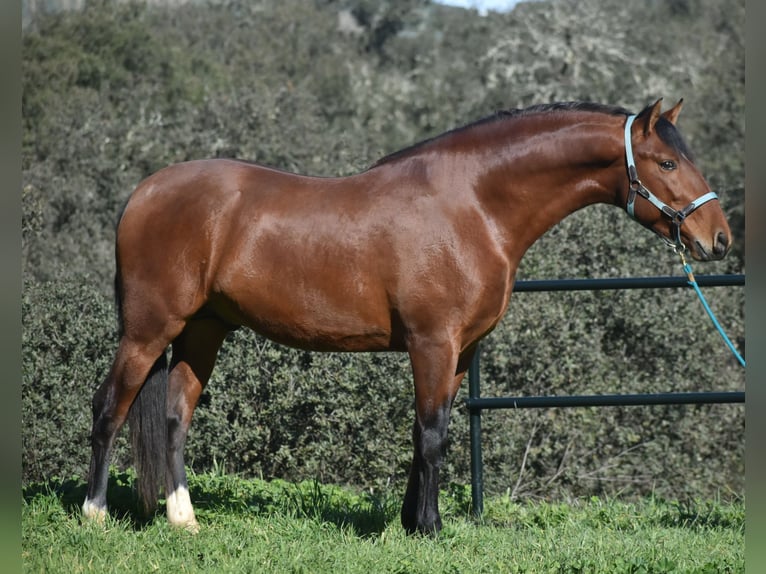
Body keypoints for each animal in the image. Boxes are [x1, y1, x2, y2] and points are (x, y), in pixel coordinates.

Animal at [82, 99, 732, 536]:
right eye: (666, 163)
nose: (719, 239)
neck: (473, 204)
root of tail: (143, 193)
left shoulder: (460, 350)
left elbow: (429, 431)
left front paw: (411, 521)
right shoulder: (432, 342)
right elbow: (433, 432)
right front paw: (430, 529)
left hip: (204, 329)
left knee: (174, 415)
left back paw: (183, 519)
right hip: (148, 329)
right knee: (110, 405)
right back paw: (94, 513)